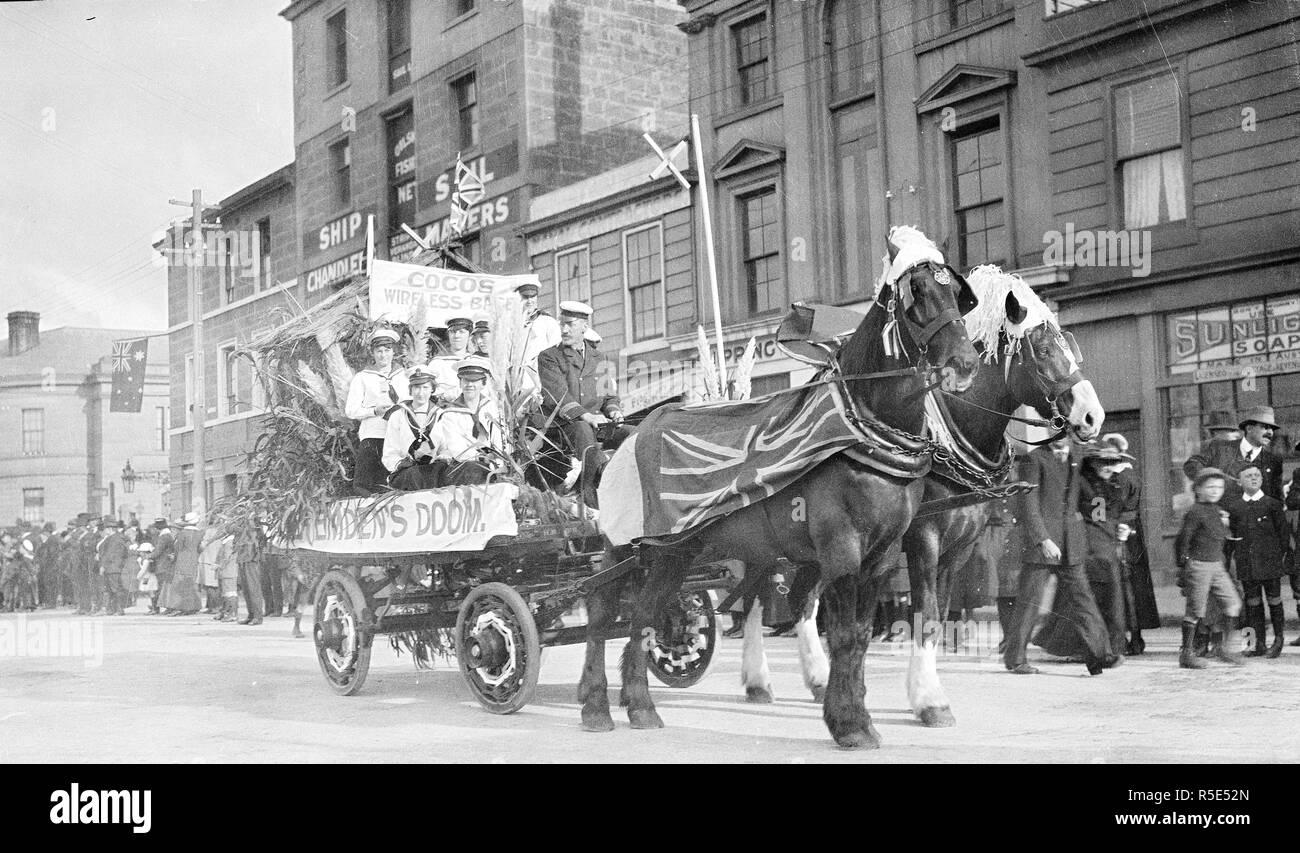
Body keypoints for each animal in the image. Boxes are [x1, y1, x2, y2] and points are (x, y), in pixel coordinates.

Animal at [584, 226, 981, 748]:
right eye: (917, 293)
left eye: (957, 294)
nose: (965, 362)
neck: (861, 428)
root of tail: (624, 435)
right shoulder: (841, 548)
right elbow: (845, 634)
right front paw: (849, 722)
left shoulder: (883, 553)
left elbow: (858, 634)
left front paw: (855, 714)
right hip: (628, 547)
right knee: (603, 612)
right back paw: (596, 705)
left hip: (675, 553)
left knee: (643, 617)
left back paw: (639, 706)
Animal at [737, 264, 1106, 727]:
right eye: (1041, 349)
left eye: (1068, 344)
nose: (1093, 415)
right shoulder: (924, 538)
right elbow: (925, 612)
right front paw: (929, 699)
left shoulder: (958, 548)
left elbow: (938, 613)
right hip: (770, 541)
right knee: (755, 600)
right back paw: (758, 679)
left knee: (803, 599)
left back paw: (818, 678)